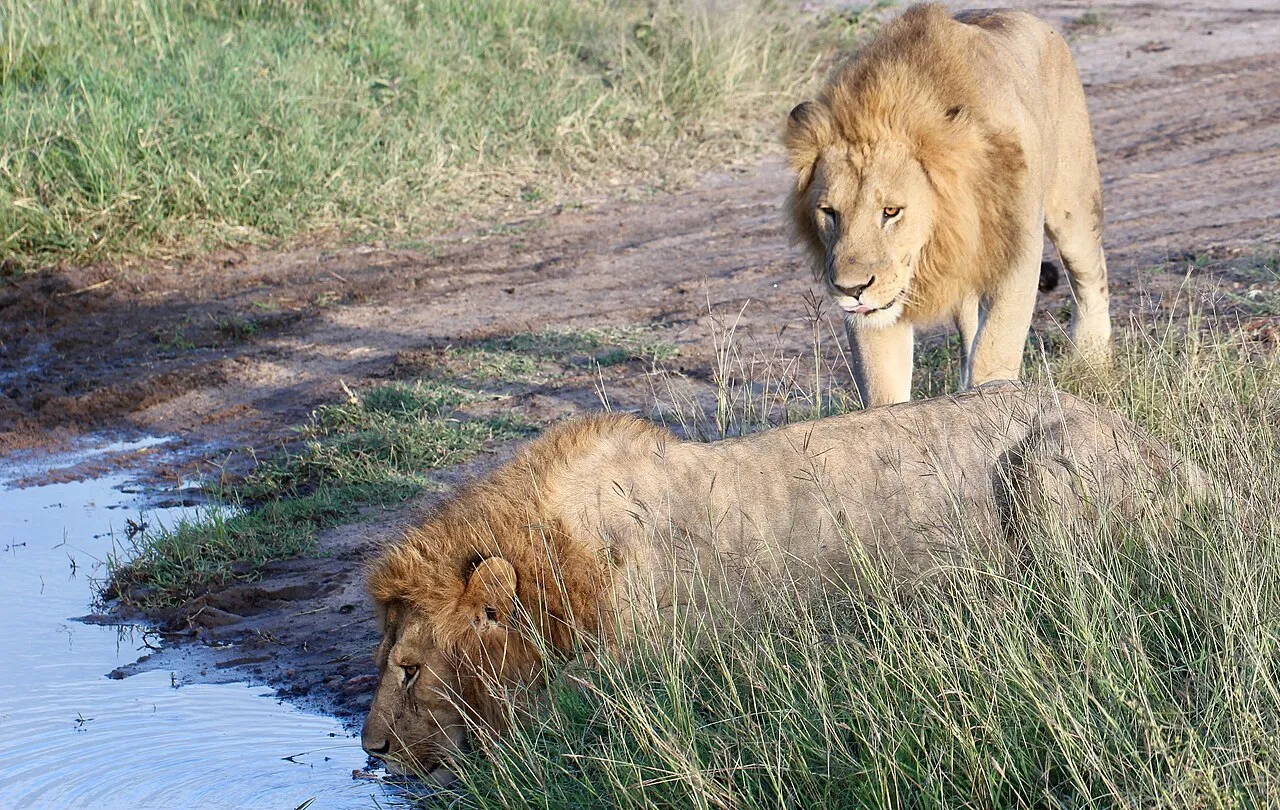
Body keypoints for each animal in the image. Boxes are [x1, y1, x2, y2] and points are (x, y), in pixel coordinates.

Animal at [360, 384, 1205, 781]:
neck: (559, 569)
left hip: (1044, 470)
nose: (370, 751)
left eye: (409, 668)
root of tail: (1175, 455)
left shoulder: (638, 681)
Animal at [785, 4, 1112, 406]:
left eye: (891, 212)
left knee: (1091, 277)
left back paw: (1093, 363)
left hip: (1072, 204)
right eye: (829, 212)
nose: (851, 289)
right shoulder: (877, 306)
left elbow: (996, 346)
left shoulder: (1017, 247)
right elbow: (883, 384)